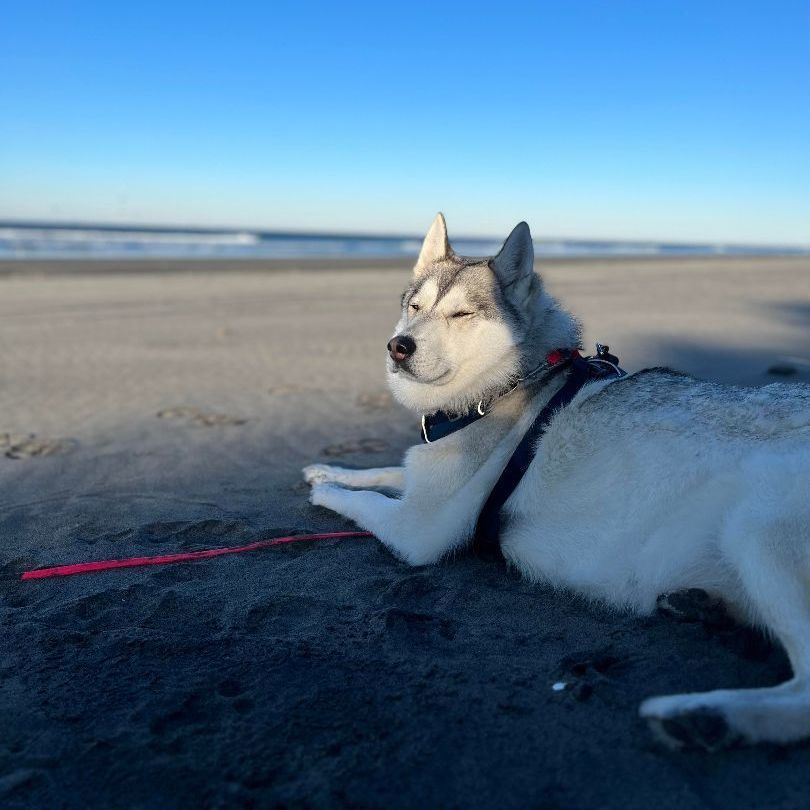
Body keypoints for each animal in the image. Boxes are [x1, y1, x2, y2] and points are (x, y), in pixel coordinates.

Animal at [304, 211, 808, 748]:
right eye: (415, 307)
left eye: (461, 315)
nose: (398, 347)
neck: (509, 385)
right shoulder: (423, 482)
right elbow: (386, 471)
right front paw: (331, 470)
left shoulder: (418, 530)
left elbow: (370, 501)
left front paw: (327, 490)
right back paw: (696, 609)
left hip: (756, 526)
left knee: (804, 694)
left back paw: (700, 715)